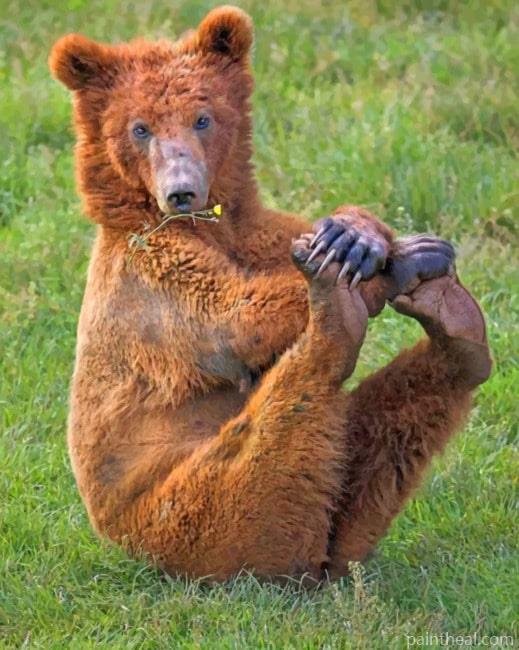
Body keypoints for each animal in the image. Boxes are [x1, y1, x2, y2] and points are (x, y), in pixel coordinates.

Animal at [49, 6, 491, 582]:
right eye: (139, 128)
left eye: (203, 118)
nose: (181, 190)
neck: (208, 228)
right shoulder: (150, 283)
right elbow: (235, 316)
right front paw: (387, 264)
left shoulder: (258, 234)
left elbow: (297, 237)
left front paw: (357, 237)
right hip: (181, 517)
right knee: (273, 458)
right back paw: (339, 308)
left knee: (372, 441)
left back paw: (453, 322)